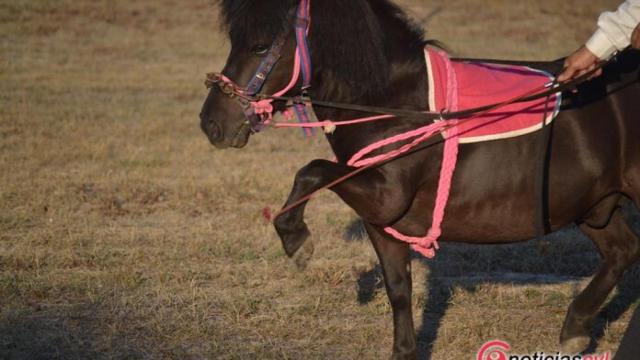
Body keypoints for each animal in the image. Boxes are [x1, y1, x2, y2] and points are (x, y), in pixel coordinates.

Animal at [200, 0, 640, 358]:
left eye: (259, 46)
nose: (211, 123)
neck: (396, 103)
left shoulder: (384, 195)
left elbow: (311, 170)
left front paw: (296, 240)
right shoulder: (382, 221)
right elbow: (399, 289)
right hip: (592, 208)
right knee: (622, 251)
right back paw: (575, 329)